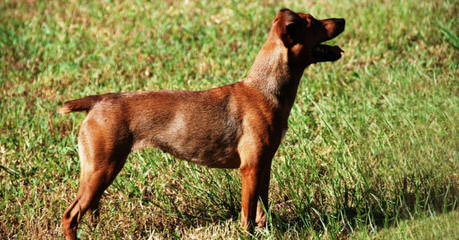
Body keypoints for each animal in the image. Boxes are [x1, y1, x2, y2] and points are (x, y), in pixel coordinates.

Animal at [58, 8, 344, 239]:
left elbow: (262, 209)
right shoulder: (250, 169)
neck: (264, 89)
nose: (342, 20)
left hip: (99, 170)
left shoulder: (264, 165)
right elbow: (247, 215)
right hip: (101, 169)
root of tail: (98, 101)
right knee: (70, 216)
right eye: (313, 22)